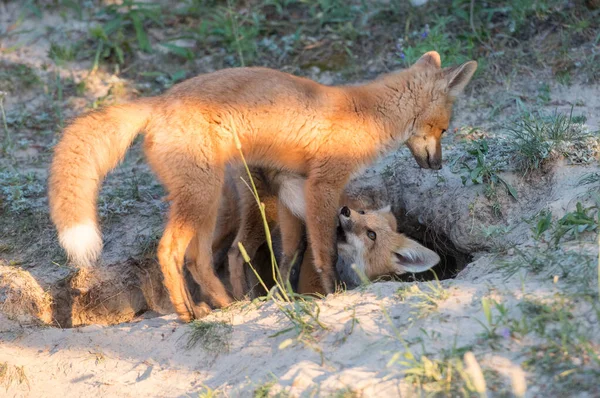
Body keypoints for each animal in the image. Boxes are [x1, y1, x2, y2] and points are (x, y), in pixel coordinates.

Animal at [49, 51, 476, 322]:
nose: (437, 165)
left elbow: (290, 253)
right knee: (169, 251)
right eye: (443, 129)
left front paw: (285, 293)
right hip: (200, 198)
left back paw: (227, 305)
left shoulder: (291, 189)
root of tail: (159, 100)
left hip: (209, 203)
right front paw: (331, 293)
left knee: (200, 259)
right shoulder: (323, 185)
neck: (364, 114)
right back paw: (189, 314)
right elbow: (323, 251)